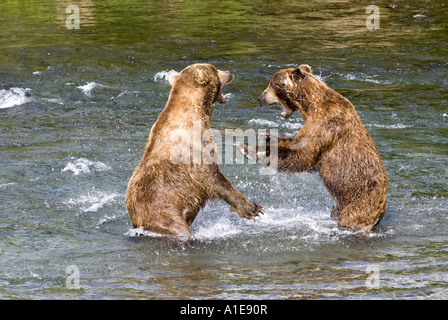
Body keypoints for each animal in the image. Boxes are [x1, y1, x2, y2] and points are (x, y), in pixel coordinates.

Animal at [126, 63, 262, 238]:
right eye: (215, 69)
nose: (230, 72)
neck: (198, 111)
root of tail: (136, 220)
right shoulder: (195, 148)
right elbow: (213, 177)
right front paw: (253, 208)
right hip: (164, 215)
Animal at [234, 63, 388, 231]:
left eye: (272, 84)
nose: (260, 98)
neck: (310, 106)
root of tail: (382, 209)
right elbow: (295, 143)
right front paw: (265, 136)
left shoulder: (326, 124)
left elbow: (302, 154)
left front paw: (245, 147)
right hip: (340, 205)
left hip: (361, 200)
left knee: (351, 217)